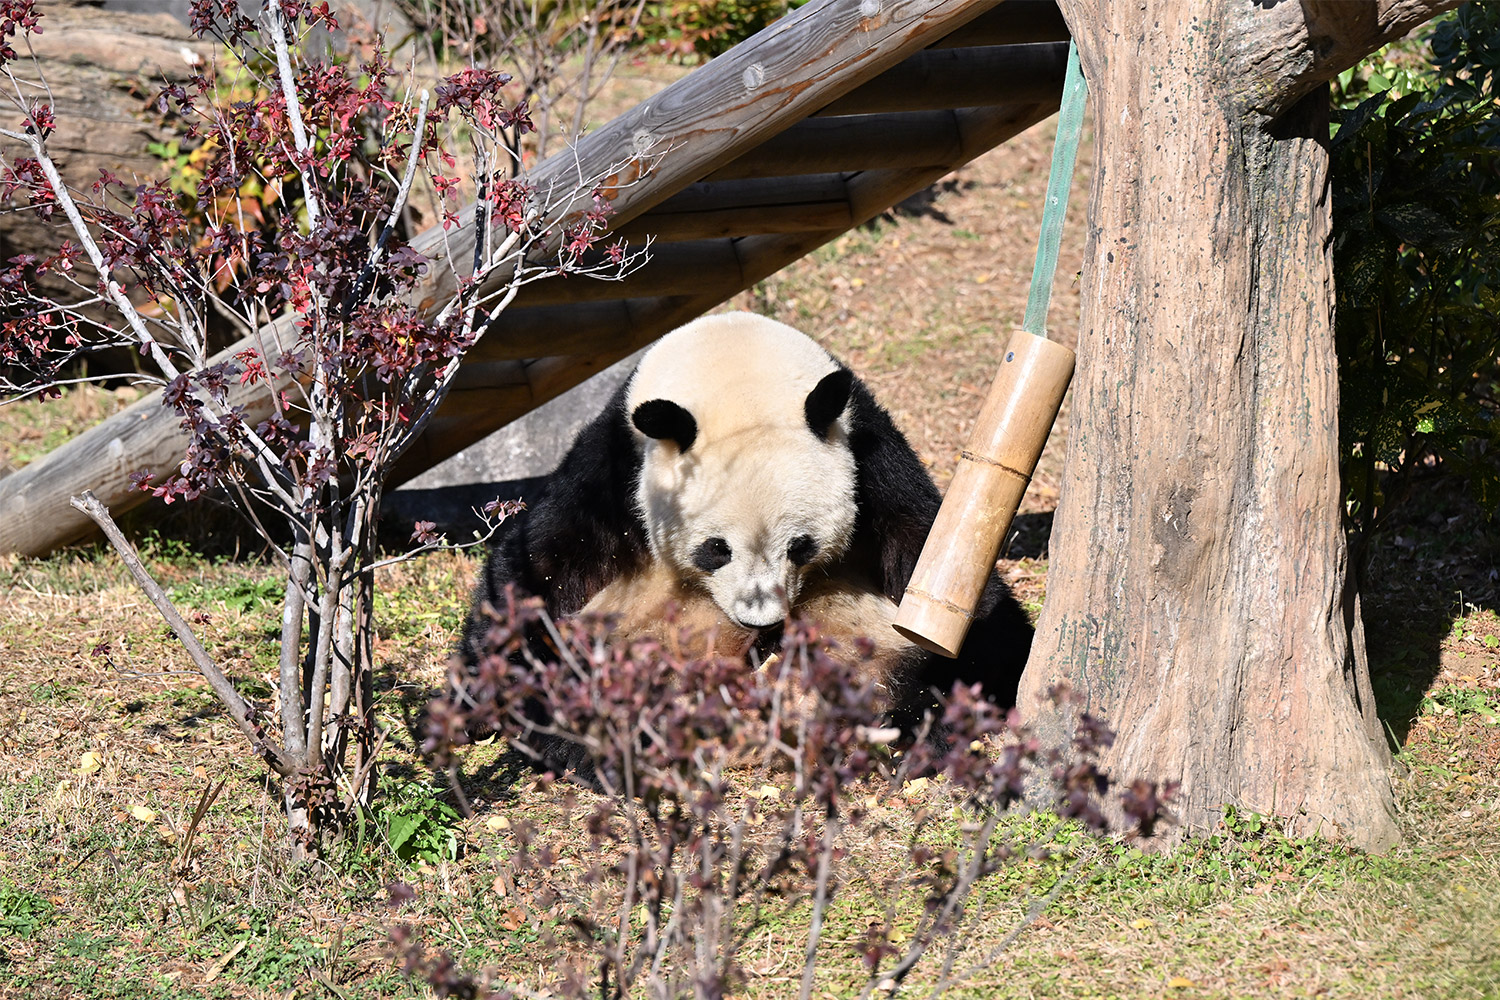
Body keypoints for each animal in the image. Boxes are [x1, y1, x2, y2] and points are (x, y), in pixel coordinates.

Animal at [460, 311, 1033, 773]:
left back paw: (903, 728)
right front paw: (493, 706)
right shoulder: (616, 467)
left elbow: (938, 569)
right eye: (716, 548)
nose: (762, 623)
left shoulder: (870, 460)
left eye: (800, 546)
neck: (737, 373)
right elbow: (535, 569)